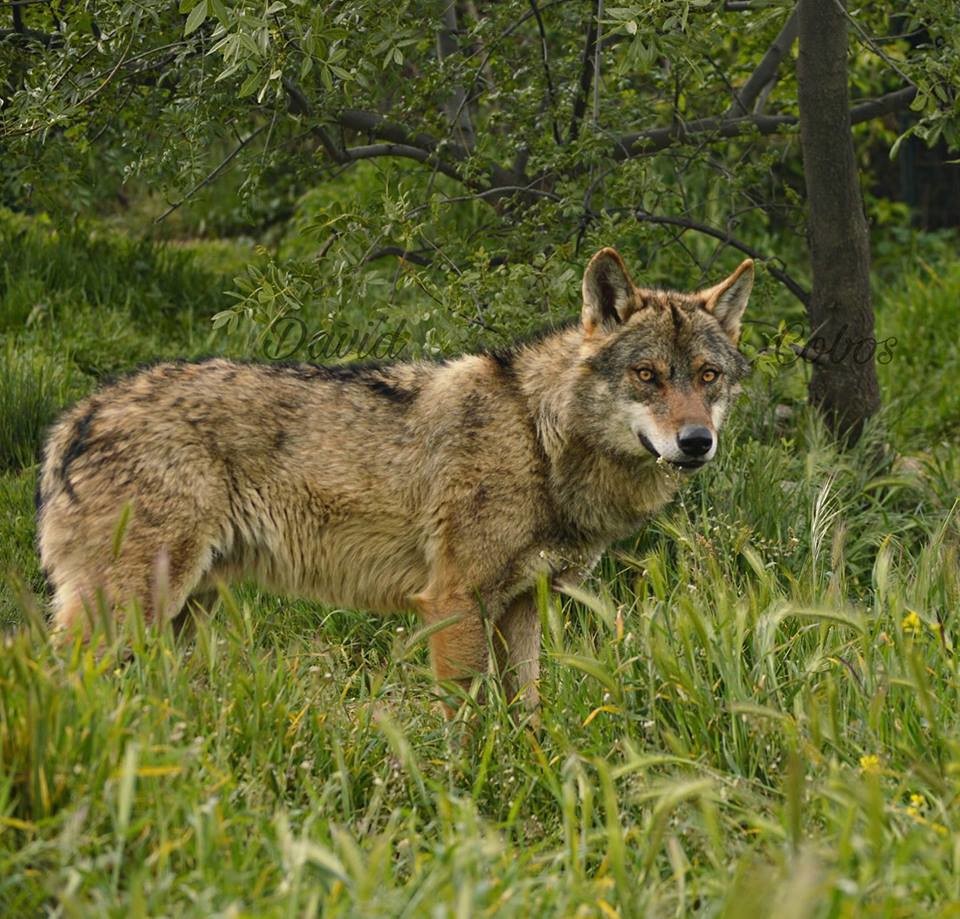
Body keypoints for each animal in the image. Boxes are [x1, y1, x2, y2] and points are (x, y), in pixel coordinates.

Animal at [37, 248, 753, 715]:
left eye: (707, 375)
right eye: (647, 376)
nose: (697, 442)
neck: (537, 436)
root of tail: (79, 415)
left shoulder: (523, 607)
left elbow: (527, 712)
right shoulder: (454, 604)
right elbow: (468, 723)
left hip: (180, 617)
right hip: (132, 611)